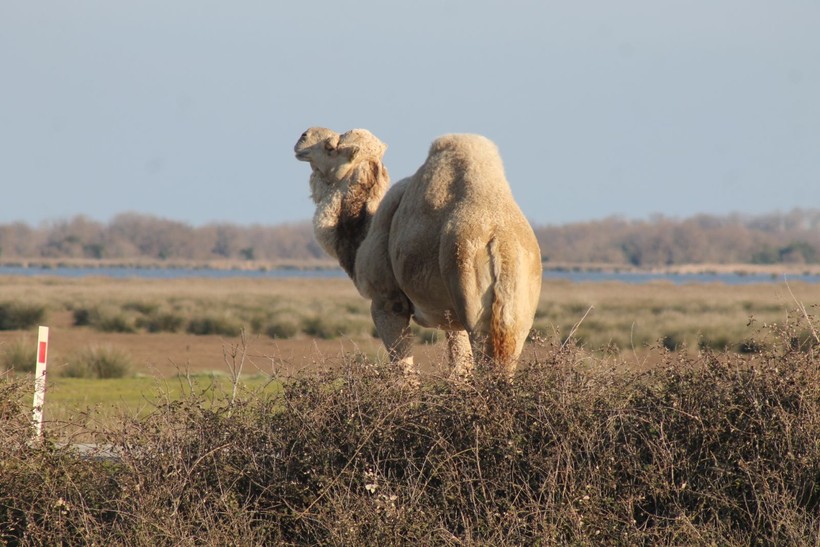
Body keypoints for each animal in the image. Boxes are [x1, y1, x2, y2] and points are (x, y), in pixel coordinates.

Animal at [296, 127, 544, 382]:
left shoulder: (387, 300)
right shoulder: (452, 319)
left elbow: (404, 371)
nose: (303, 136)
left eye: (331, 147)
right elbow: (459, 369)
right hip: (517, 311)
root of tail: (500, 243)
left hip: (471, 297)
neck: (365, 231)